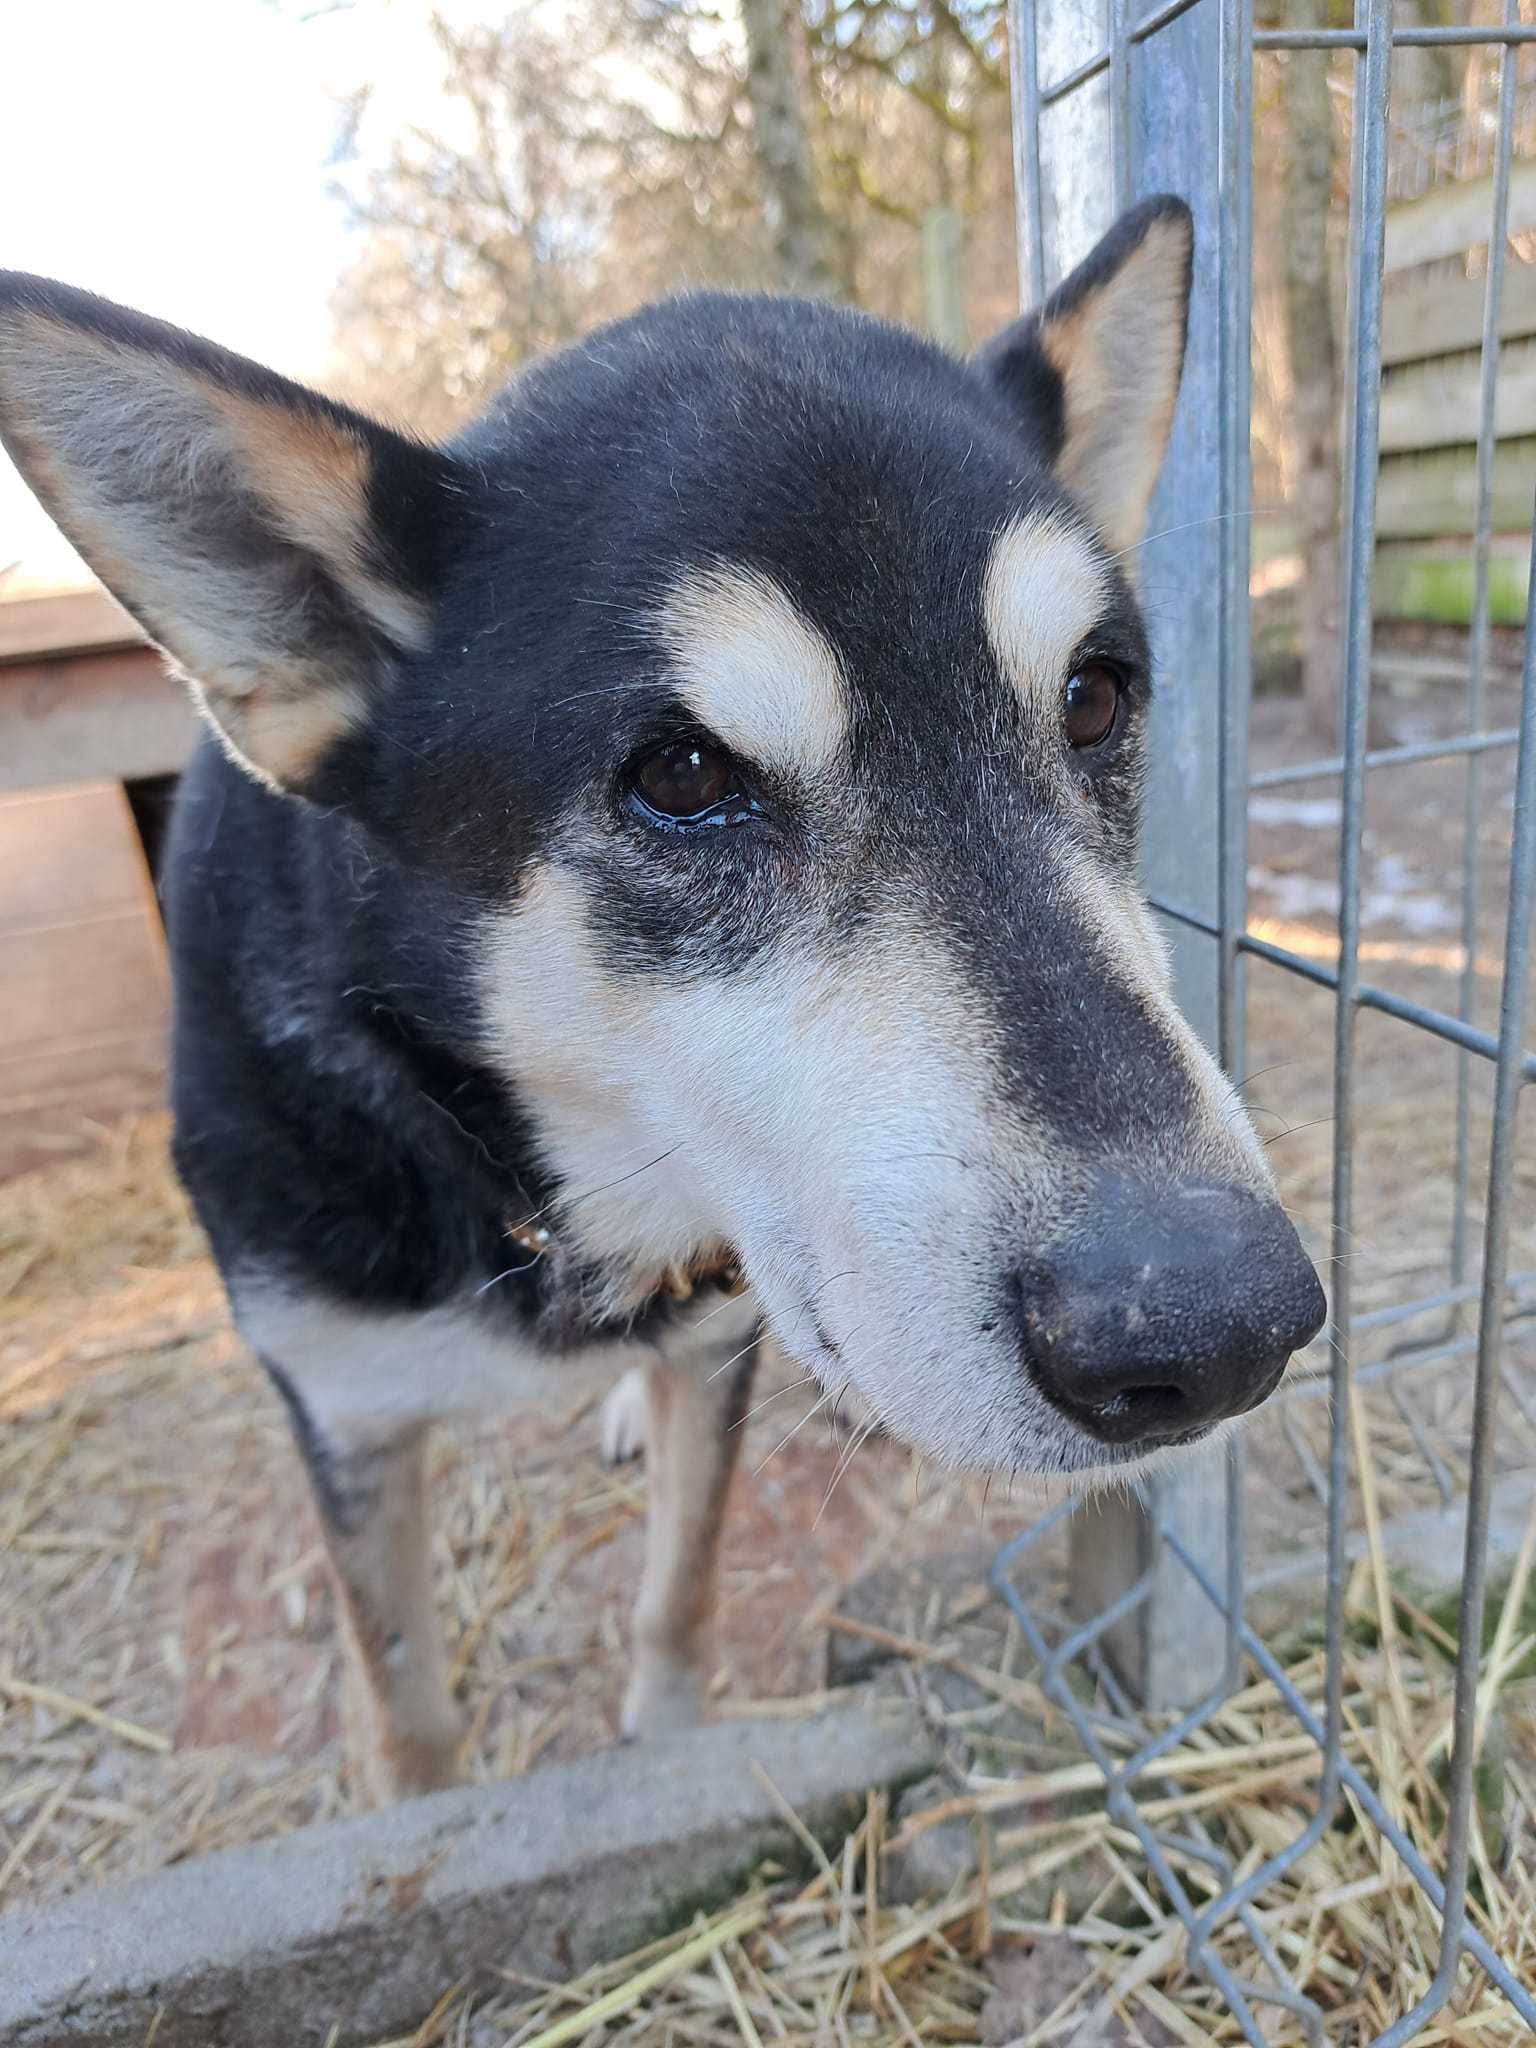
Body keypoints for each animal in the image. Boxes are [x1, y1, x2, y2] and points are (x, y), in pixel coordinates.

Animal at [0, 199, 1327, 1802]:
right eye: (685, 777)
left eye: (1095, 697)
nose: (1215, 1331)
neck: (516, 1179)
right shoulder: (346, 1413)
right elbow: (410, 1714)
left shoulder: (716, 1351)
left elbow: (679, 1587)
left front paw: (667, 1744)